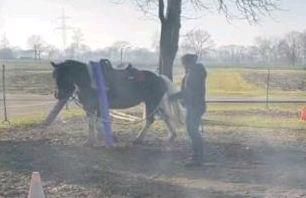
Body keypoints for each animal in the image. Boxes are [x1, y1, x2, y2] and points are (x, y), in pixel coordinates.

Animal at [46, 59, 183, 146]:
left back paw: (138, 139)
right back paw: (172, 136)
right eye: (54, 76)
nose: (58, 95)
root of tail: (160, 77)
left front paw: (109, 138)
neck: (90, 80)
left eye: (65, 75)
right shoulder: (90, 107)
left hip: (151, 102)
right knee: (166, 117)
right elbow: (91, 124)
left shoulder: (99, 106)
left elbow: (98, 123)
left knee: (150, 120)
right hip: (156, 103)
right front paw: (90, 141)